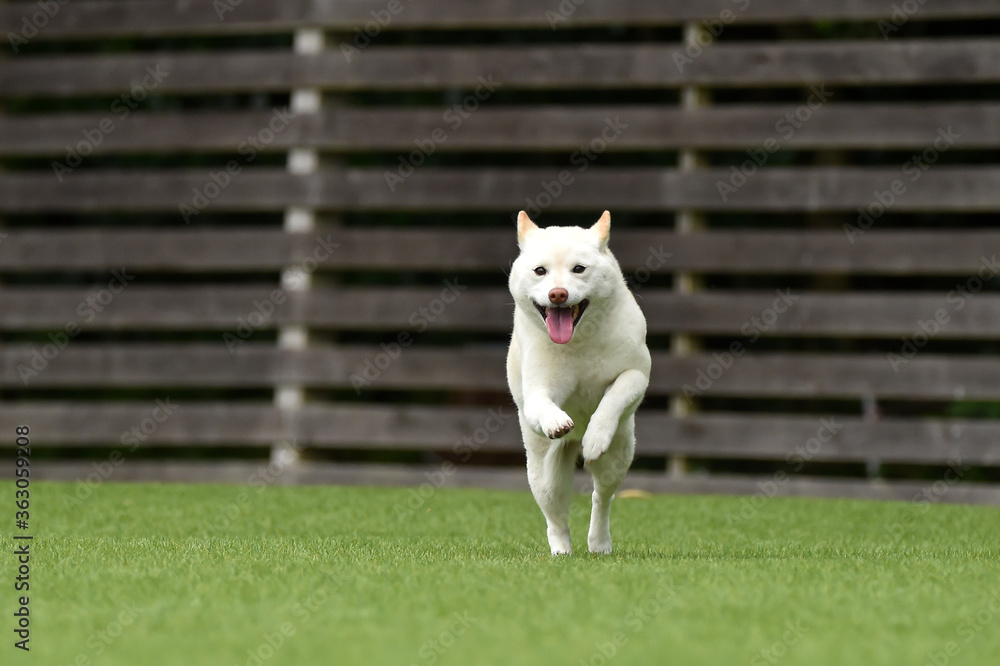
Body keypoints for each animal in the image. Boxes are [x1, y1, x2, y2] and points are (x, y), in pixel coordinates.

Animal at [506, 210, 650, 555]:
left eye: (579, 269)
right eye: (540, 271)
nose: (558, 293)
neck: (578, 341)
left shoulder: (637, 374)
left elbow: (616, 394)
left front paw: (596, 435)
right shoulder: (537, 391)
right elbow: (542, 404)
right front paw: (556, 420)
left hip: (619, 455)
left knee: (602, 497)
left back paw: (599, 542)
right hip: (543, 474)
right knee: (555, 515)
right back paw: (561, 550)